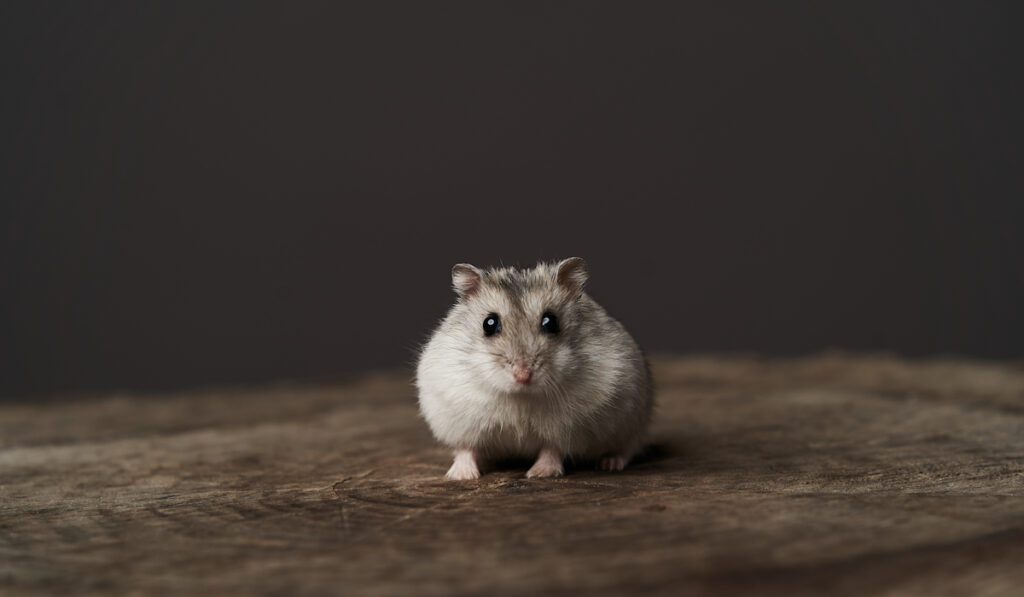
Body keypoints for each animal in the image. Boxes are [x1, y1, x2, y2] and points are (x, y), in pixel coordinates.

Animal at [417, 258, 651, 481]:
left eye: (551, 322)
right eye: (489, 324)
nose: (523, 375)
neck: (520, 396)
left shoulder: (569, 428)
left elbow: (552, 449)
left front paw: (539, 473)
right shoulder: (458, 419)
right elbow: (465, 447)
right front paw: (461, 476)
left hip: (632, 425)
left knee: (627, 449)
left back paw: (610, 464)